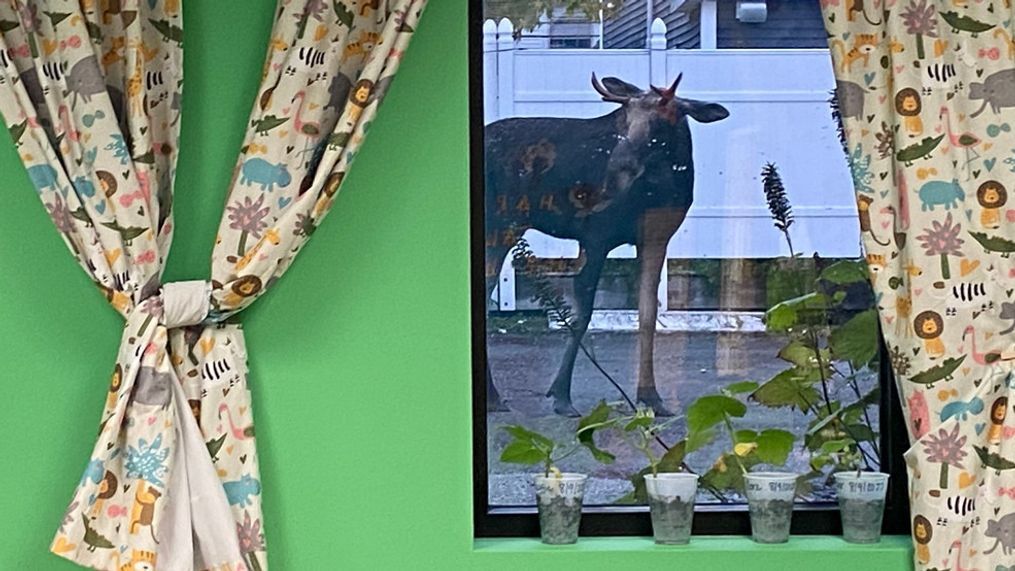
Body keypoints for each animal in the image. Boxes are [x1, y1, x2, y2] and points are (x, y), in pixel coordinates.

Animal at [485, 73, 730, 417]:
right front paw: (561, 396)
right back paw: (494, 396)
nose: (618, 164)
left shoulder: (656, 237)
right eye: (625, 117)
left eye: (664, 117)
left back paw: (493, 396)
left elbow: (647, 313)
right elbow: (583, 312)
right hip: (499, 222)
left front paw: (651, 396)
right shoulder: (595, 235)